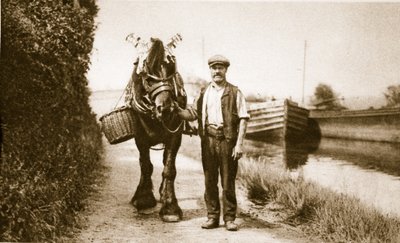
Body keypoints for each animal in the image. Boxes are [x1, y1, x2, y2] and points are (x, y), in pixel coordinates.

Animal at [126, 35, 187, 223]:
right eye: (148, 77)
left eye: (171, 71)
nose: (166, 109)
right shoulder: (140, 138)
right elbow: (146, 166)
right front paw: (144, 199)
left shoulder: (175, 136)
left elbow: (169, 169)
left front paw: (170, 207)